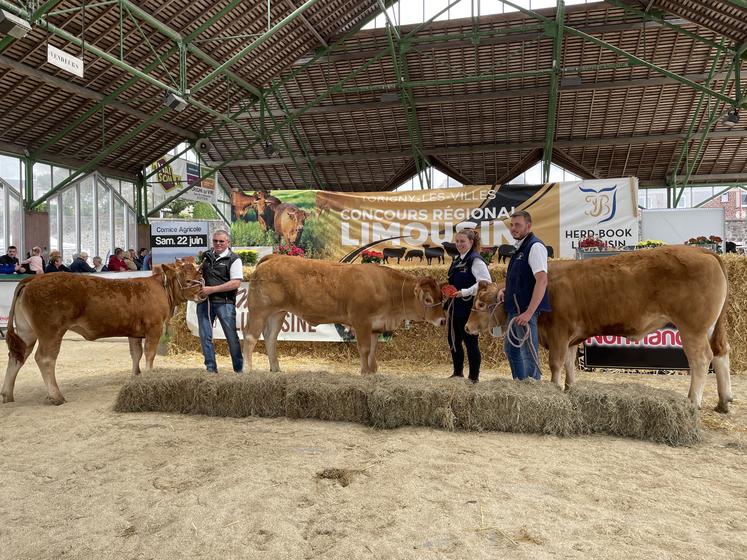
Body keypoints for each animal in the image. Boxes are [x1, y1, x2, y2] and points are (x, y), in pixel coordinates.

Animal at [2, 260, 205, 404]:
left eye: (199, 274)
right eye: (187, 279)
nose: (203, 294)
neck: (161, 288)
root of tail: (34, 279)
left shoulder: (134, 332)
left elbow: (136, 354)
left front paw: (135, 375)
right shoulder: (154, 327)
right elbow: (149, 354)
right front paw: (148, 376)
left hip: (26, 332)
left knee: (17, 356)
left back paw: (7, 394)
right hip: (51, 331)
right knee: (44, 359)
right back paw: (56, 396)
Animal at [243, 256, 448, 374]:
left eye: (442, 297)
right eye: (428, 299)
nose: (443, 320)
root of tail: (272, 257)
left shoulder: (375, 326)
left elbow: (373, 349)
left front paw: (373, 370)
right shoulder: (361, 321)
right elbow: (364, 348)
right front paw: (365, 372)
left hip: (277, 313)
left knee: (270, 337)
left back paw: (276, 368)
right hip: (259, 310)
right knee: (250, 337)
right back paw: (248, 369)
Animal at [464, 247, 732, 414]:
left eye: (480, 304)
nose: (466, 327)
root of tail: (703, 251)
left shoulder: (559, 331)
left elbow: (556, 363)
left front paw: (555, 388)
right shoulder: (571, 337)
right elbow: (570, 362)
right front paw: (570, 388)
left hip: (692, 328)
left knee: (701, 360)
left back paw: (693, 402)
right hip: (710, 328)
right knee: (721, 353)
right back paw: (723, 401)